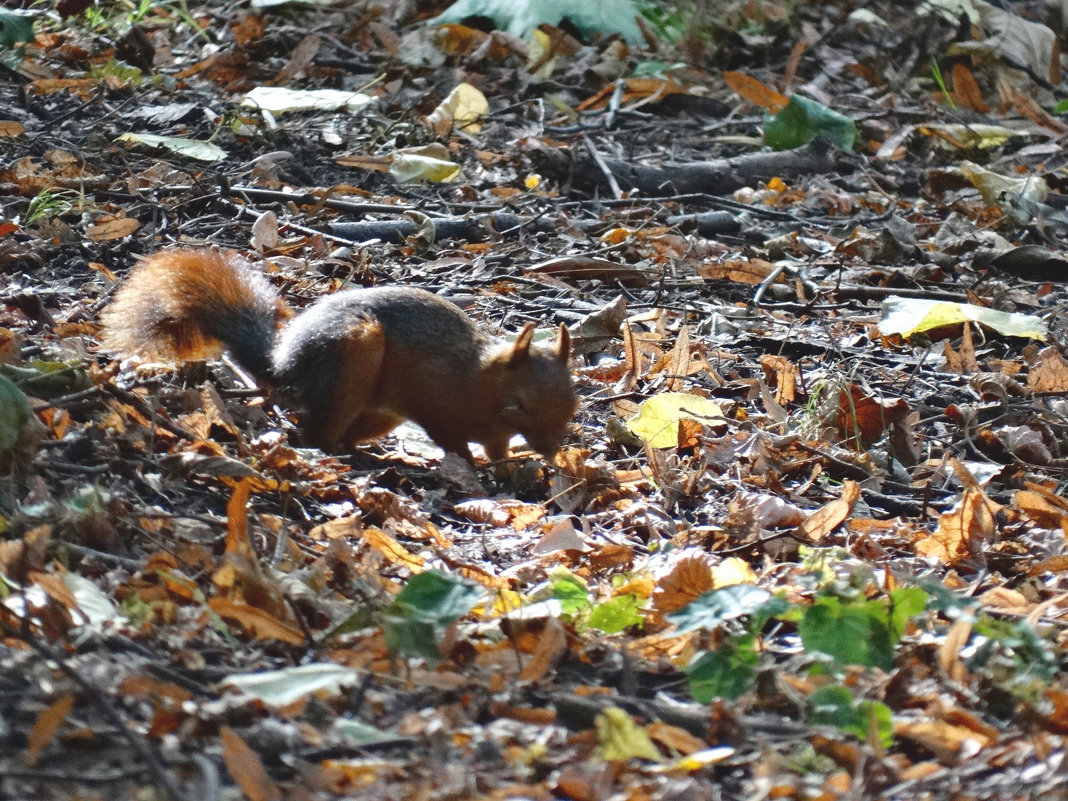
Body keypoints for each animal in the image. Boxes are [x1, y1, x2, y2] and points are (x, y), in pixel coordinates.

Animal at [101, 250, 576, 463]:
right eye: (521, 404)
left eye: (573, 405)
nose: (552, 450)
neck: (484, 385)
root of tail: (286, 366)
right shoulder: (436, 400)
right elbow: (453, 441)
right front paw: (471, 467)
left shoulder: (494, 432)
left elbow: (498, 449)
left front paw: (512, 468)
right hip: (354, 355)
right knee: (318, 434)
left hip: (381, 412)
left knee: (343, 432)